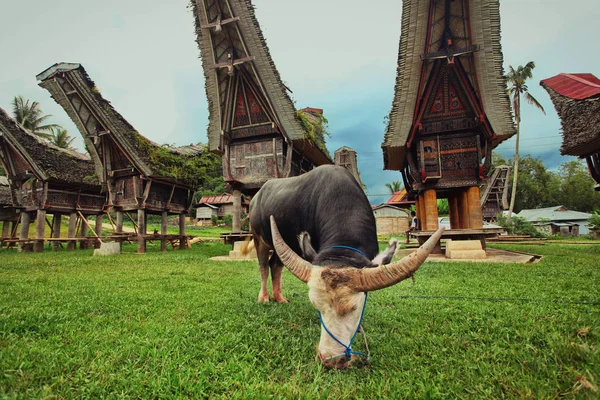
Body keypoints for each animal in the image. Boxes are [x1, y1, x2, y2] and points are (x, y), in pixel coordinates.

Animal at [246, 166, 442, 368]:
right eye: (316, 306)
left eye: (354, 307)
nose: (331, 359)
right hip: (258, 237)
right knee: (263, 266)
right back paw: (264, 297)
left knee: (275, 265)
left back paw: (279, 298)